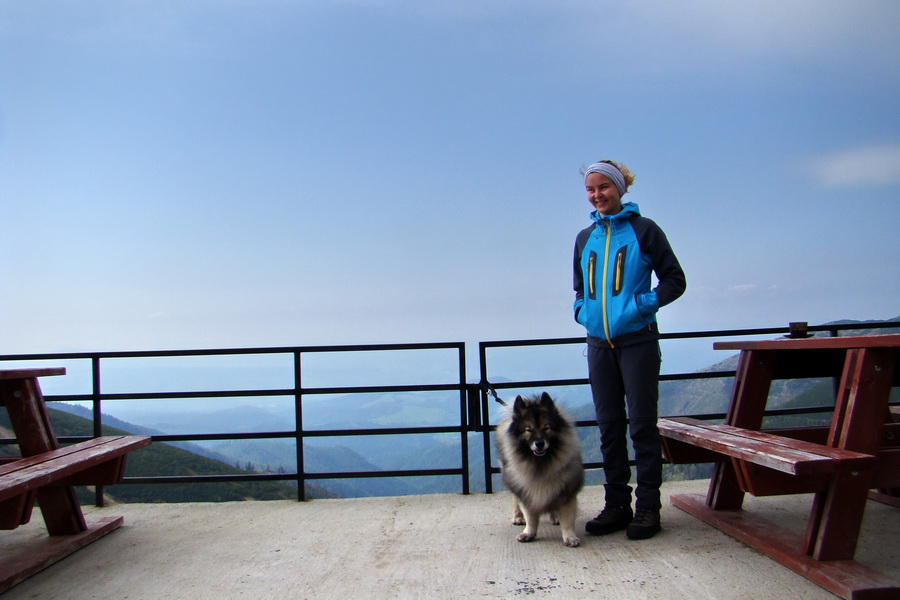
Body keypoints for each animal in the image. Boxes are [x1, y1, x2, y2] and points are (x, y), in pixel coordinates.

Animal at [496, 392, 588, 548]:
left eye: (547, 428)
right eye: (528, 430)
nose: (539, 443)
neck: (541, 464)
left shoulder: (567, 491)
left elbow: (567, 519)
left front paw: (570, 537)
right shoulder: (527, 491)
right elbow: (531, 517)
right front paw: (528, 533)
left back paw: (556, 516)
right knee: (515, 500)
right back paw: (518, 517)